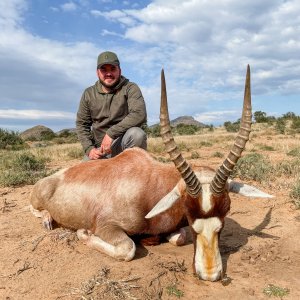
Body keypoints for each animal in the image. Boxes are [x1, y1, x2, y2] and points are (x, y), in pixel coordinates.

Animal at [29, 65, 272, 282]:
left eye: (227, 207)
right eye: (187, 208)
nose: (210, 274)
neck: (150, 185)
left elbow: (179, 237)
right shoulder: (107, 226)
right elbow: (128, 248)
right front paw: (83, 233)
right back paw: (47, 219)